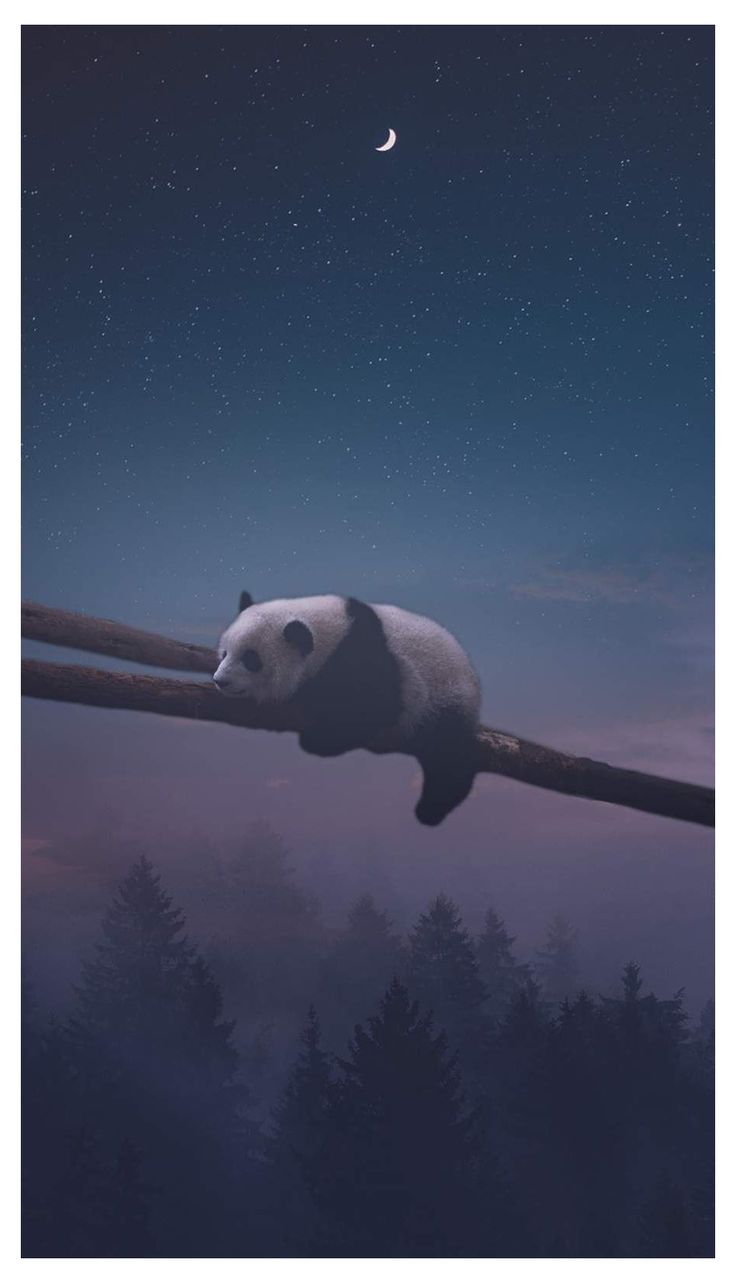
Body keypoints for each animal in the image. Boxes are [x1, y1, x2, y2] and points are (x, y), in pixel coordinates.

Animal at [213, 592, 482, 826]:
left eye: (251, 659)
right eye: (224, 653)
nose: (220, 681)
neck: (328, 633)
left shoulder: (367, 658)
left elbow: (375, 706)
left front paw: (318, 738)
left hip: (445, 696)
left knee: (448, 755)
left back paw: (431, 809)